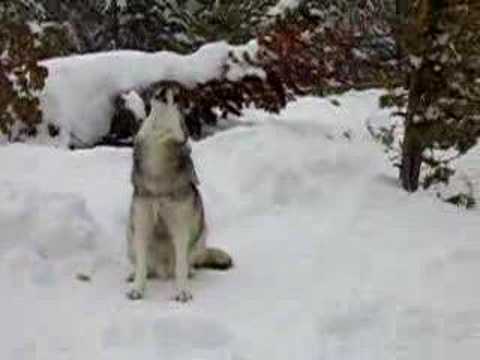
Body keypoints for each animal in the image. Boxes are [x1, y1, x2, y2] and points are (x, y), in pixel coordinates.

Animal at [126, 85, 233, 300]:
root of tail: (163, 271)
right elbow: (141, 265)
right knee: (146, 266)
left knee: (188, 263)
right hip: (129, 232)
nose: (165, 85)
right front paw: (137, 289)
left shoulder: (181, 229)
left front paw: (182, 291)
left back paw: (190, 272)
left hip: (201, 232)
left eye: (176, 99)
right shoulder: (141, 224)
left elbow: (181, 267)